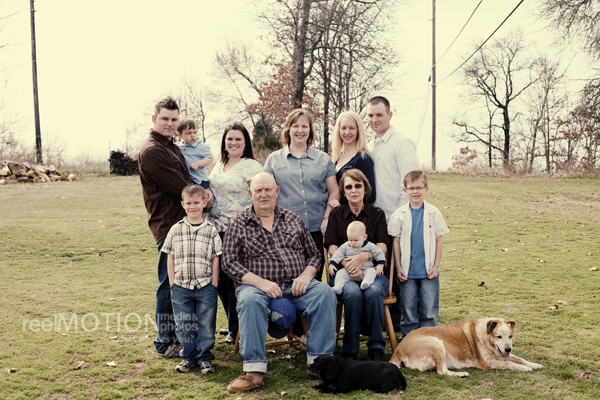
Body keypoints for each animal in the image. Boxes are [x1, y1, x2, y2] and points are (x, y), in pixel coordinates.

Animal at [389, 318, 543, 377]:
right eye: (499, 336)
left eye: (510, 336)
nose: (508, 349)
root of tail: (398, 349)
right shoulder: (488, 363)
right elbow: (510, 363)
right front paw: (525, 368)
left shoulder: (502, 355)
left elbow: (520, 359)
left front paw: (535, 364)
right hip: (436, 343)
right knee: (442, 371)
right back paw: (461, 374)